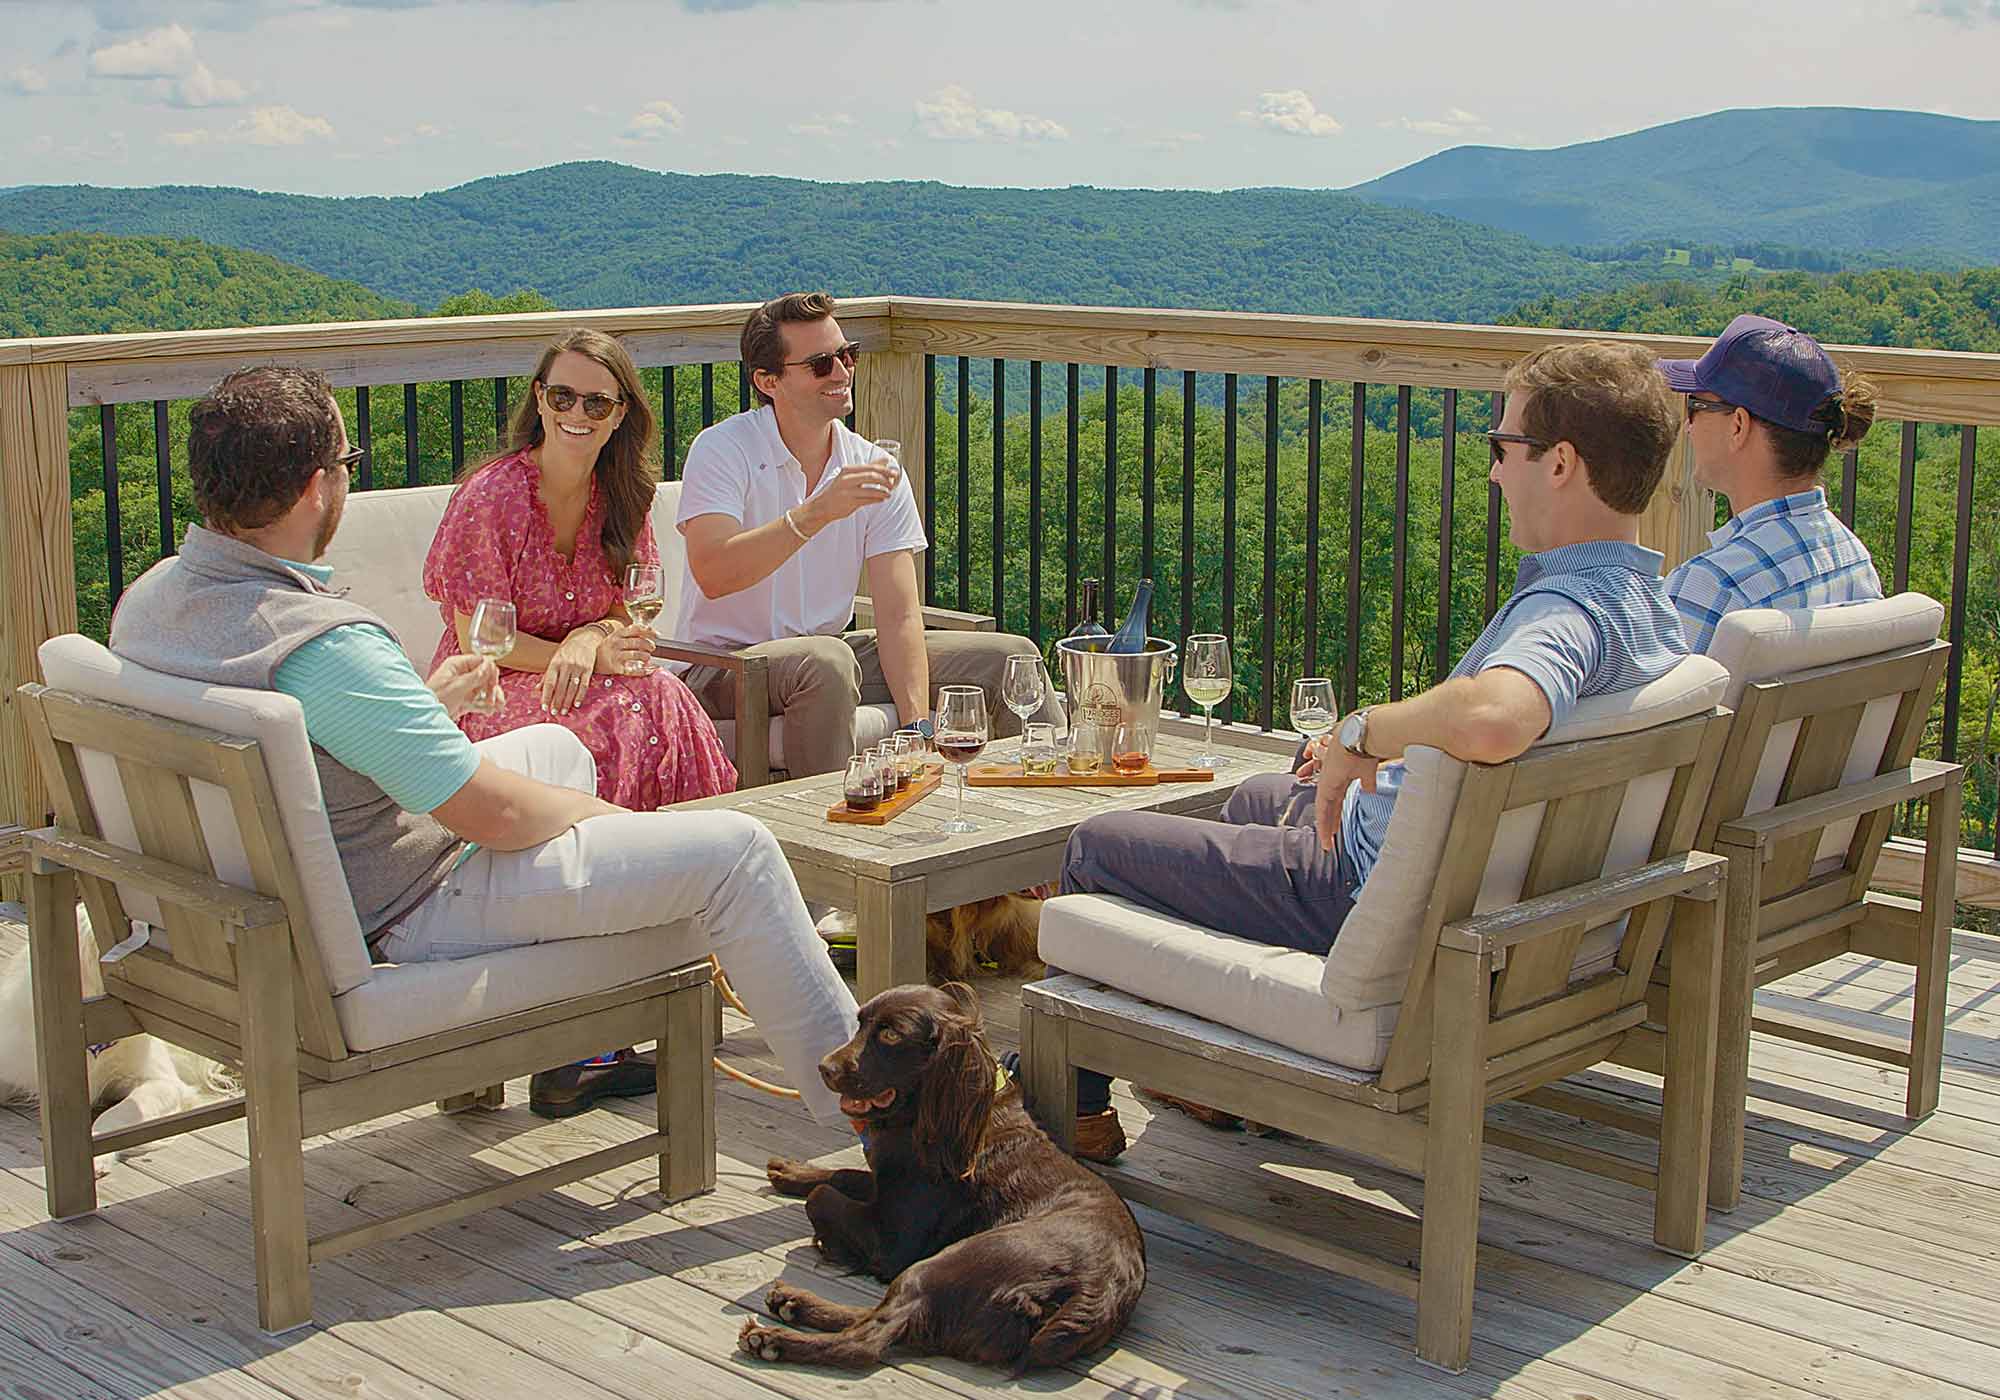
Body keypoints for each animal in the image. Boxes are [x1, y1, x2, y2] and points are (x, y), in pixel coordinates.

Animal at [740, 984, 1152, 1376]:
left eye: (890, 1034)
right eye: (860, 1024)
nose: (823, 1067)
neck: (931, 1115)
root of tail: (1099, 1292)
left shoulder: (894, 1241)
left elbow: (823, 1196)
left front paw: (826, 1239)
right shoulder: (891, 1183)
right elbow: (846, 1174)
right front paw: (792, 1171)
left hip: (941, 1264)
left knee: (867, 1340)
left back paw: (774, 1339)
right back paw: (793, 1303)